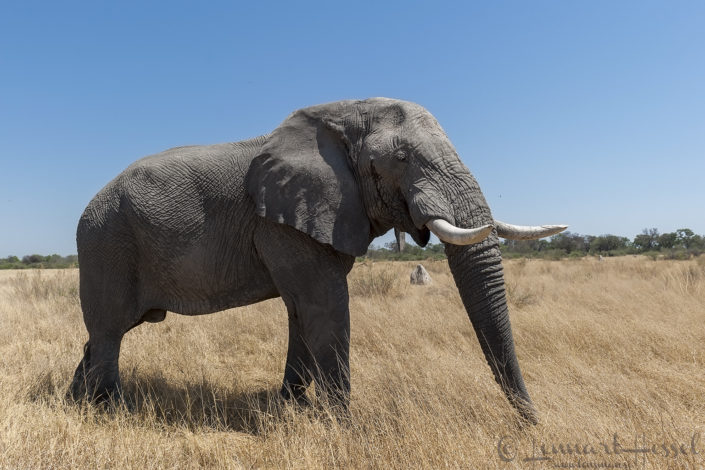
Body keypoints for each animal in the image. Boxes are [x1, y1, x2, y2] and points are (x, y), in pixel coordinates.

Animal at [68, 97, 566, 423]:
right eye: (401, 157)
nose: (533, 425)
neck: (342, 115)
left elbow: (300, 312)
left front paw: (293, 408)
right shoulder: (282, 222)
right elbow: (324, 304)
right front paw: (343, 425)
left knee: (102, 334)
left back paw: (78, 401)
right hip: (105, 244)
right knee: (110, 331)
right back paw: (111, 412)